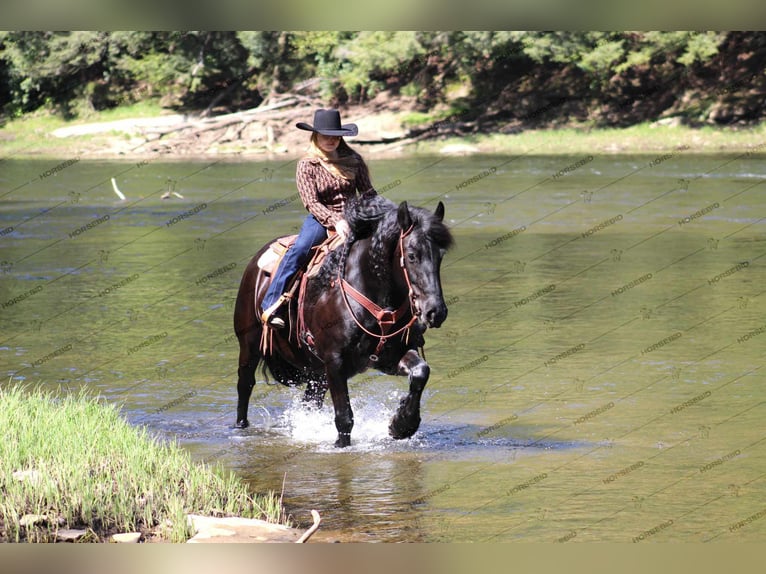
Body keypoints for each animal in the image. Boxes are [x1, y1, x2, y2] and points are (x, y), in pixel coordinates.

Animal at [231, 196, 452, 448]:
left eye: (440, 255)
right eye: (412, 255)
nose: (435, 311)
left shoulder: (389, 356)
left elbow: (420, 372)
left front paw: (401, 424)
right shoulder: (335, 361)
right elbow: (344, 417)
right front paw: (341, 445)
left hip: (317, 372)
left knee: (310, 401)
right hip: (249, 345)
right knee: (245, 385)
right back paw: (240, 427)